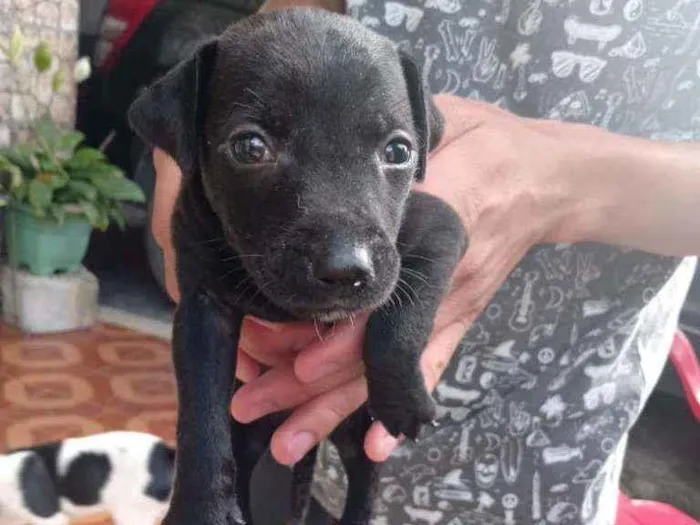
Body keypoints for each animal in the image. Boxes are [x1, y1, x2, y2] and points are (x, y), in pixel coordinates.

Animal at [129, 8, 468, 524]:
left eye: (398, 152)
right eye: (250, 148)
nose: (346, 269)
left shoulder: (440, 229)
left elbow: (405, 308)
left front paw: (404, 395)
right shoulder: (202, 310)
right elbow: (201, 412)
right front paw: (201, 509)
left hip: (355, 433)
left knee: (363, 477)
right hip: (248, 428)